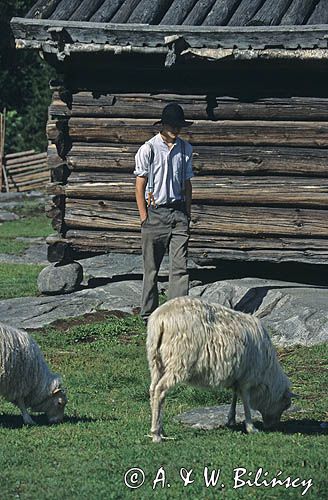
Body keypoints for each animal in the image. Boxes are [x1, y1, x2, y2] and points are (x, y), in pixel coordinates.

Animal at [147, 296, 294, 442]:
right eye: (285, 404)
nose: (272, 426)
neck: (267, 372)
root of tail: (161, 318)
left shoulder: (237, 375)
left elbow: (235, 395)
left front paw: (231, 419)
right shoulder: (247, 377)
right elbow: (246, 401)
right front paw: (251, 427)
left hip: (156, 360)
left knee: (153, 390)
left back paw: (160, 429)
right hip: (179, 360)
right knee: (160, 390)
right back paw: (156, 434)